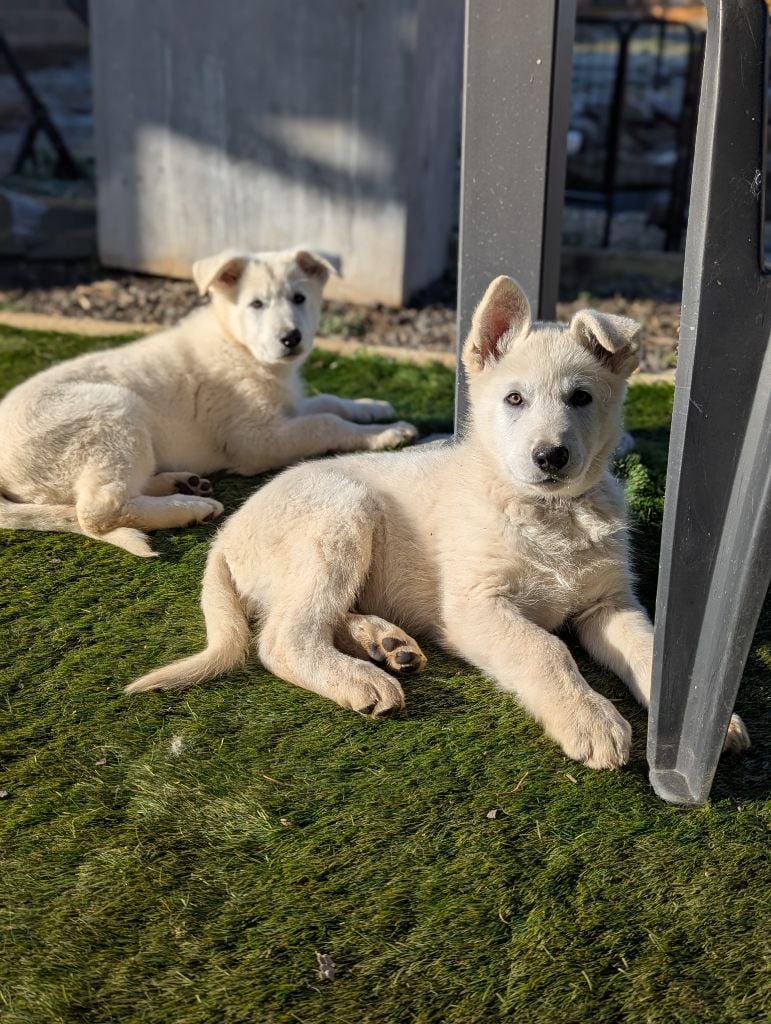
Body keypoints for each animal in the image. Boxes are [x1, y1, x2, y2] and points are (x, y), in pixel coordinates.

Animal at [0, 247, 415, 557]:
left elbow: (330, 403)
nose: (291, 338)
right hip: (112, 412)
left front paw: (374, 407)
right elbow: (325, 423)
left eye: (299, 298)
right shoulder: (255, 440)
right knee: (98, 510)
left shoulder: (287, 408)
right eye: (256, 304)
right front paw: (386, 434)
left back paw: (181, 483)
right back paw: (188, 509)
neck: (240, 345)